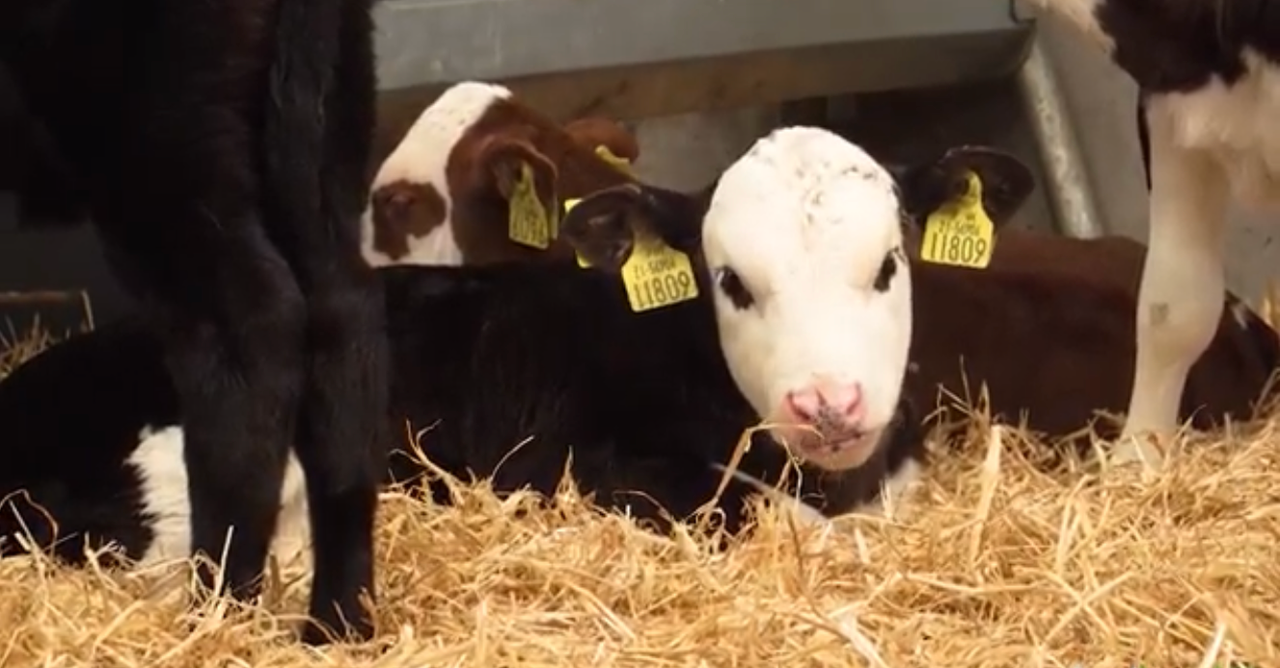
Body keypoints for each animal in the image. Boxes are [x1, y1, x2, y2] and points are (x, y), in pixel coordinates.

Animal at [0, 0, 388, 643]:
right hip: (322, 117)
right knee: (343, 318)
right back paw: (338, 623)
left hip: (157, 141)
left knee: (249, 330)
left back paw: (214, 614)